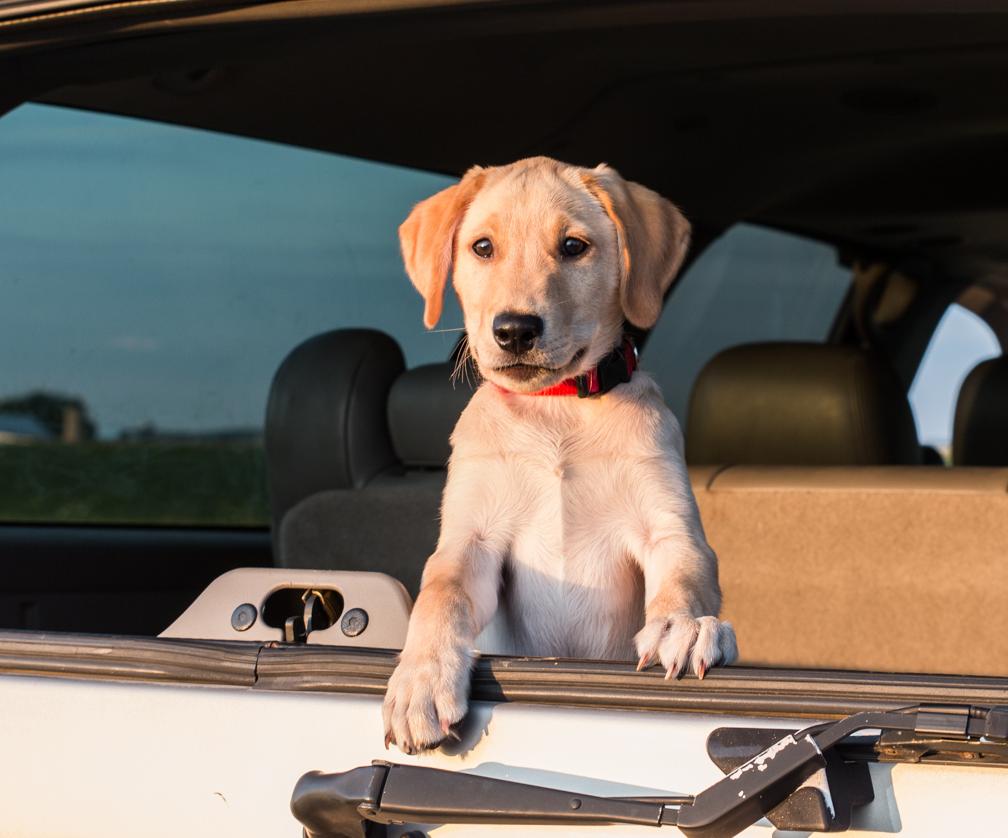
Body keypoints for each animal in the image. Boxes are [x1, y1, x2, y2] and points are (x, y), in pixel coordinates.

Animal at [381, 157, 737, 754]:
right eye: (482, 247)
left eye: (574, 246)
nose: (514, 330)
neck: (558, 410)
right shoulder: (472, 541)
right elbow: (440, 596)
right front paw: (420, 681)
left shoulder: (669, 528)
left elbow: (685, 576)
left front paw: (685, 627)